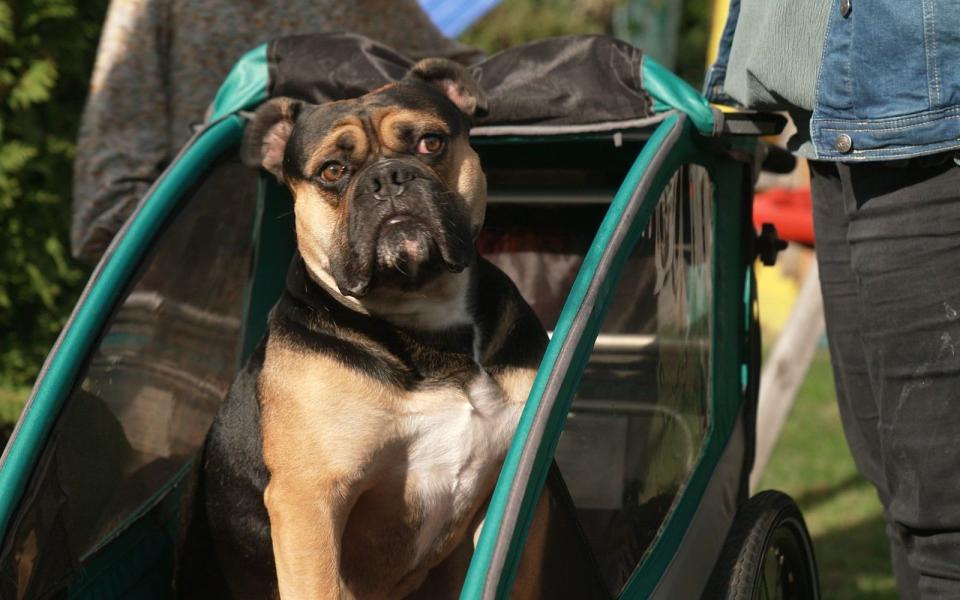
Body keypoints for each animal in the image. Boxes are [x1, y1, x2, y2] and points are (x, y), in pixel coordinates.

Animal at [173, 57, 568, 600]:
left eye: (430, 142)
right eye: (333, 171)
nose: (389, 178)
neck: (424, 319)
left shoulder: (519, 487)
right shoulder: (310, 501)